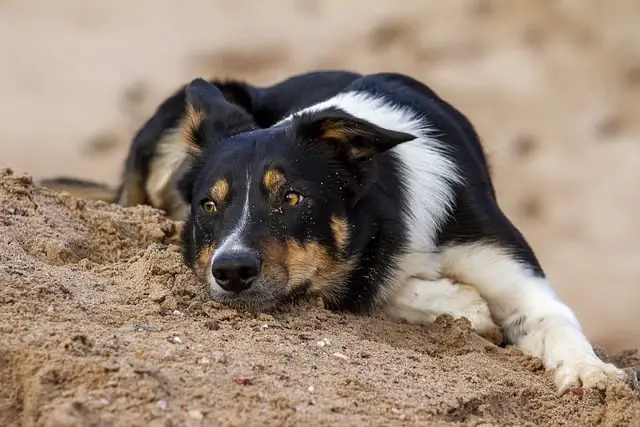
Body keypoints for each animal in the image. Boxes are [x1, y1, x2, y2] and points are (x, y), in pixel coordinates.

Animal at [176, 71, 632, 394]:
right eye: (208, 206)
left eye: (291, 197)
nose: (231, 271)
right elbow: (381, 287)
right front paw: (466, 306)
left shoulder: (514, 275)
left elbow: (555, 321)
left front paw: (590, 372)